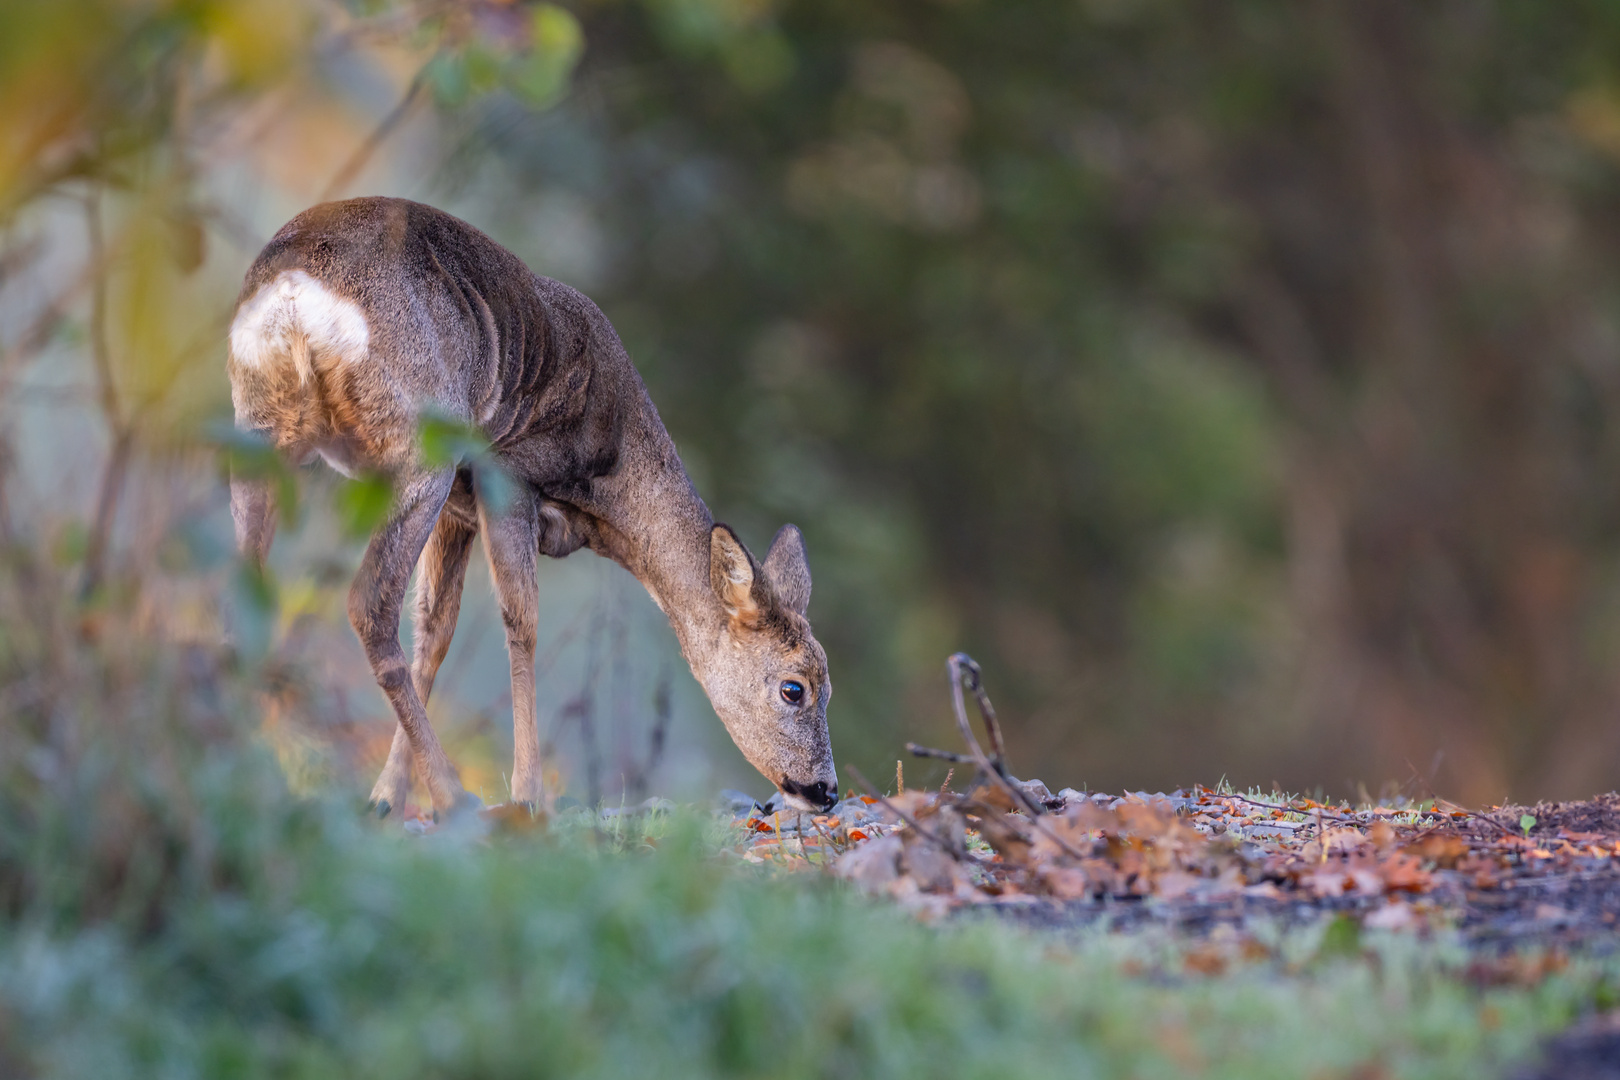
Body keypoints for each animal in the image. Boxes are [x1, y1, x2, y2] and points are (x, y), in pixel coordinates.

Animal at [228, 196, 835, 819]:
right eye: (795, 688)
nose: (826, 790)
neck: (608, 486)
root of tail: (295, 290)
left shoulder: (459, 513)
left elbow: (435, 631)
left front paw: (386, 797)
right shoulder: (507, 477)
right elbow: (522, 621)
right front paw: (527, 795)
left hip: (260, 429)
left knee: (244, 583)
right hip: (420, 448)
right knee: (369, 604)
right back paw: (453, 795)